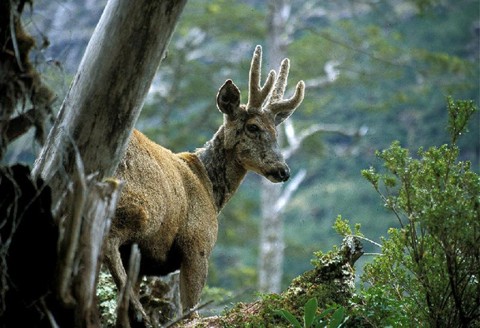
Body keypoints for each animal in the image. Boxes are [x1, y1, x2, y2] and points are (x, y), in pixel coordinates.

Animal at [104, 44, 304, 324]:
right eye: (253, 127)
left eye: (276, 132)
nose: (283, 170)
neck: (208, 186)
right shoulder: (197, 245)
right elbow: (191, 310)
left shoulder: (143, 261)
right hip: (139, 206)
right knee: (107, 241)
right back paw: (142, 314)